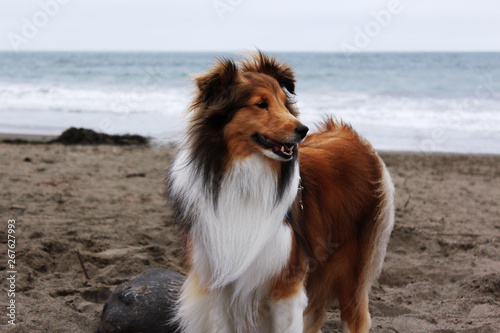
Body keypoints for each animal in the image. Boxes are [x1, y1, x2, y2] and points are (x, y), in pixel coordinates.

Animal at [167, 52, 394, 332]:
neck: (245, 178)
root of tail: (349, 134)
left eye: (285, 104)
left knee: (356, 316)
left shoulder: (286, 285)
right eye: (261, 104)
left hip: (352, 268)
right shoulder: (219, 286)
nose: (303, 130)